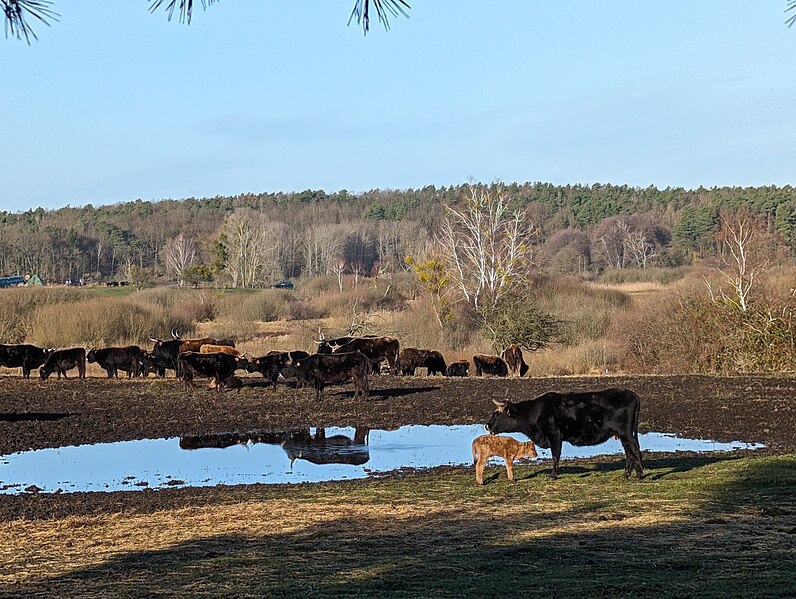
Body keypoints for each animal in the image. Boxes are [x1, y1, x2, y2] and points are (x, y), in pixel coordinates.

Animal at [486, 390, 648, 482]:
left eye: (497, 414)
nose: (487, 425)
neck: (536, 411)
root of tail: (631, 394)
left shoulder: (554, 436)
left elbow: (555, 456)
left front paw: (553, 476)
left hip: (625, 433)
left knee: (634, 449)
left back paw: (639, 475)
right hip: (623, 434)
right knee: (629, 451)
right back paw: (626, 475)